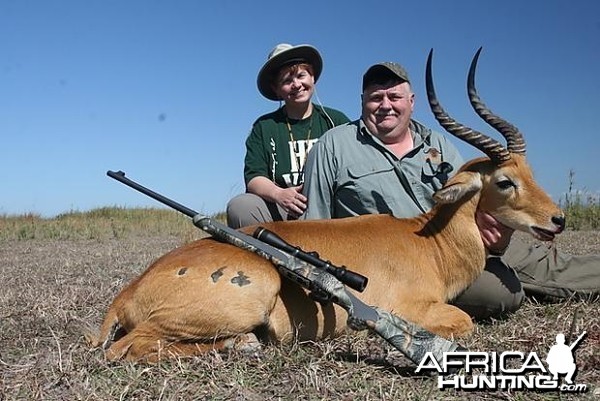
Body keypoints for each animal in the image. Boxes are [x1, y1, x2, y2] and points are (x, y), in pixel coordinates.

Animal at [86, 48, 564, 360]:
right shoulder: (411, 309)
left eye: (531, 172)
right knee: (125, 349)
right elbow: (464, 322)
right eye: (504, 181)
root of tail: (129, 291)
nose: (557, 219)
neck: (427, 241)